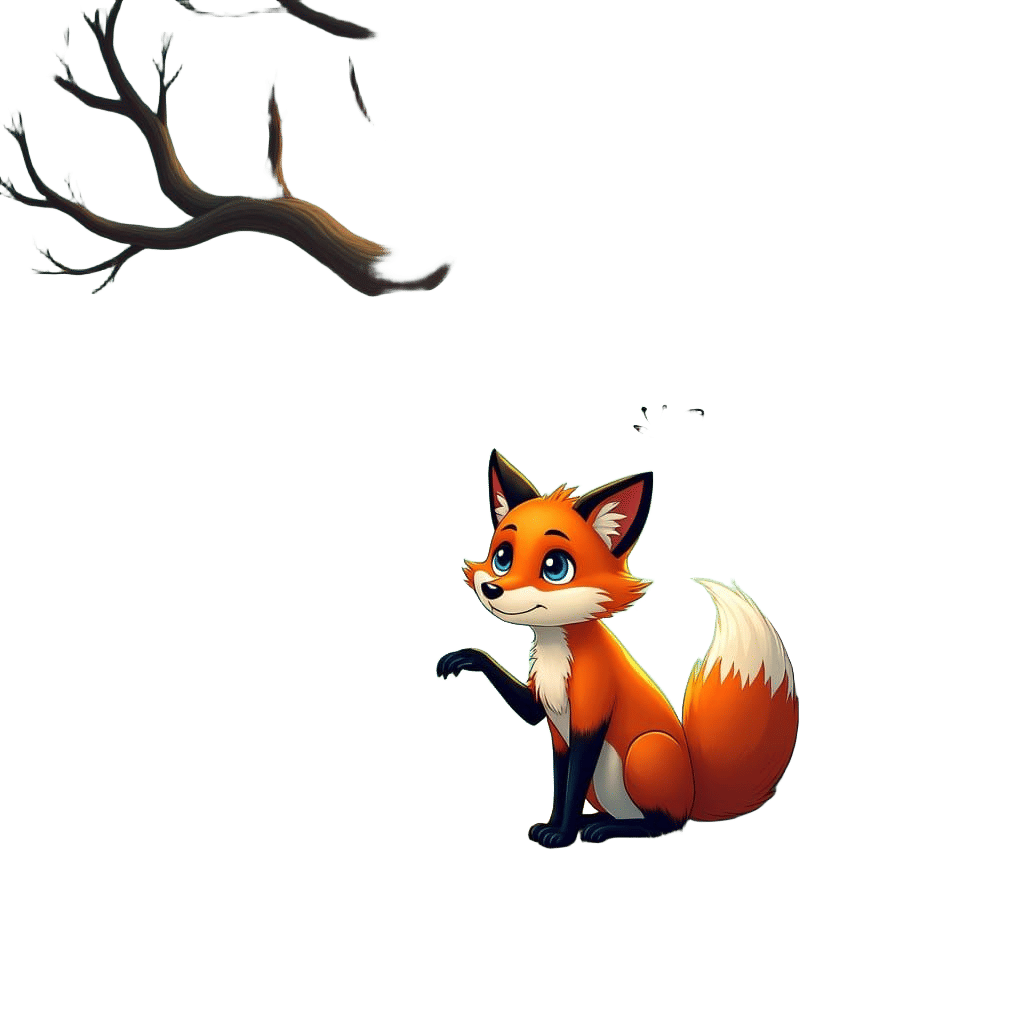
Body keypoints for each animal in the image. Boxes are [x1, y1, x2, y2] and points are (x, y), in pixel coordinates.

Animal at [435, 449, 799, 848]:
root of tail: (693, 796)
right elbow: (560, 785)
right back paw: (594, 821)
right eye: (502, 556)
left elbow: (572, 786)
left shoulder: (589, 718)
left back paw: (606, 829)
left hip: (645, 751)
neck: (556, 650)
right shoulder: (553, 722)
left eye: (555, 567)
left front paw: (561, 835)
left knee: (664, 824)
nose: (493, 590)